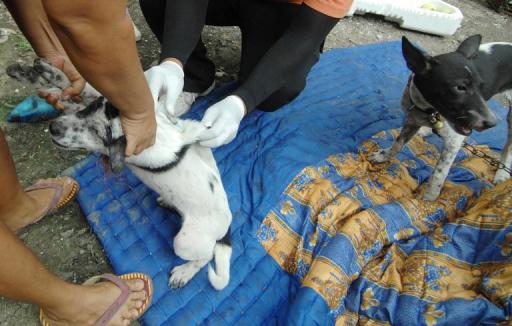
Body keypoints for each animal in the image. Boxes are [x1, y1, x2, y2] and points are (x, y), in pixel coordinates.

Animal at [7, 58, 232, 290]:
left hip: (185, 241)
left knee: (206, 256)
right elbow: (78, 86)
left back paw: (185, 272)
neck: (154, 132)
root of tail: (226, 230)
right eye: (90, 109)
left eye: (98, 134)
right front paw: (45, 73)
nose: (53, 127)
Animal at [370, 34, 512, 200]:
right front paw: (384, 156)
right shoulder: (411, 120)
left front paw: (429, 198)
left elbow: (438, 174)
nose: (492, 123)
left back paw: (501, 174)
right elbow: (398, 144)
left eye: (482, 86)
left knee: (508, 147)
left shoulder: (454, 142)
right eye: (460, 87)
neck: (429, 110)